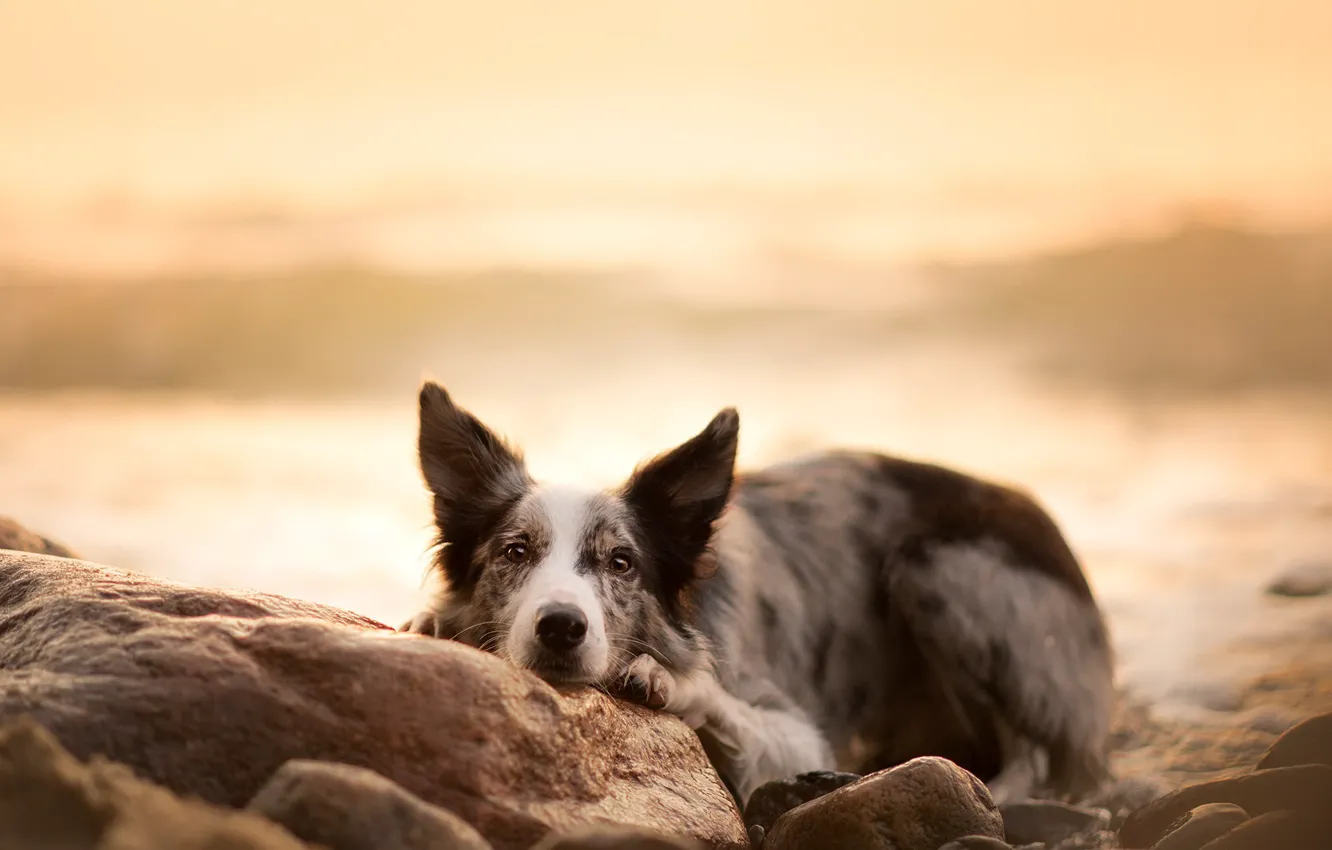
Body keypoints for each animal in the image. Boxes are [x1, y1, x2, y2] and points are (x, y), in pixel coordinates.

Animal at [402, 383, 1113, 810]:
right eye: (515, 553)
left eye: (622, 562)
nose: (560, 627)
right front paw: (433, 623)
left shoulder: (800, 733)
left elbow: (723, 702)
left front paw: (670, 679)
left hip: (934, 569)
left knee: (1040, 756)